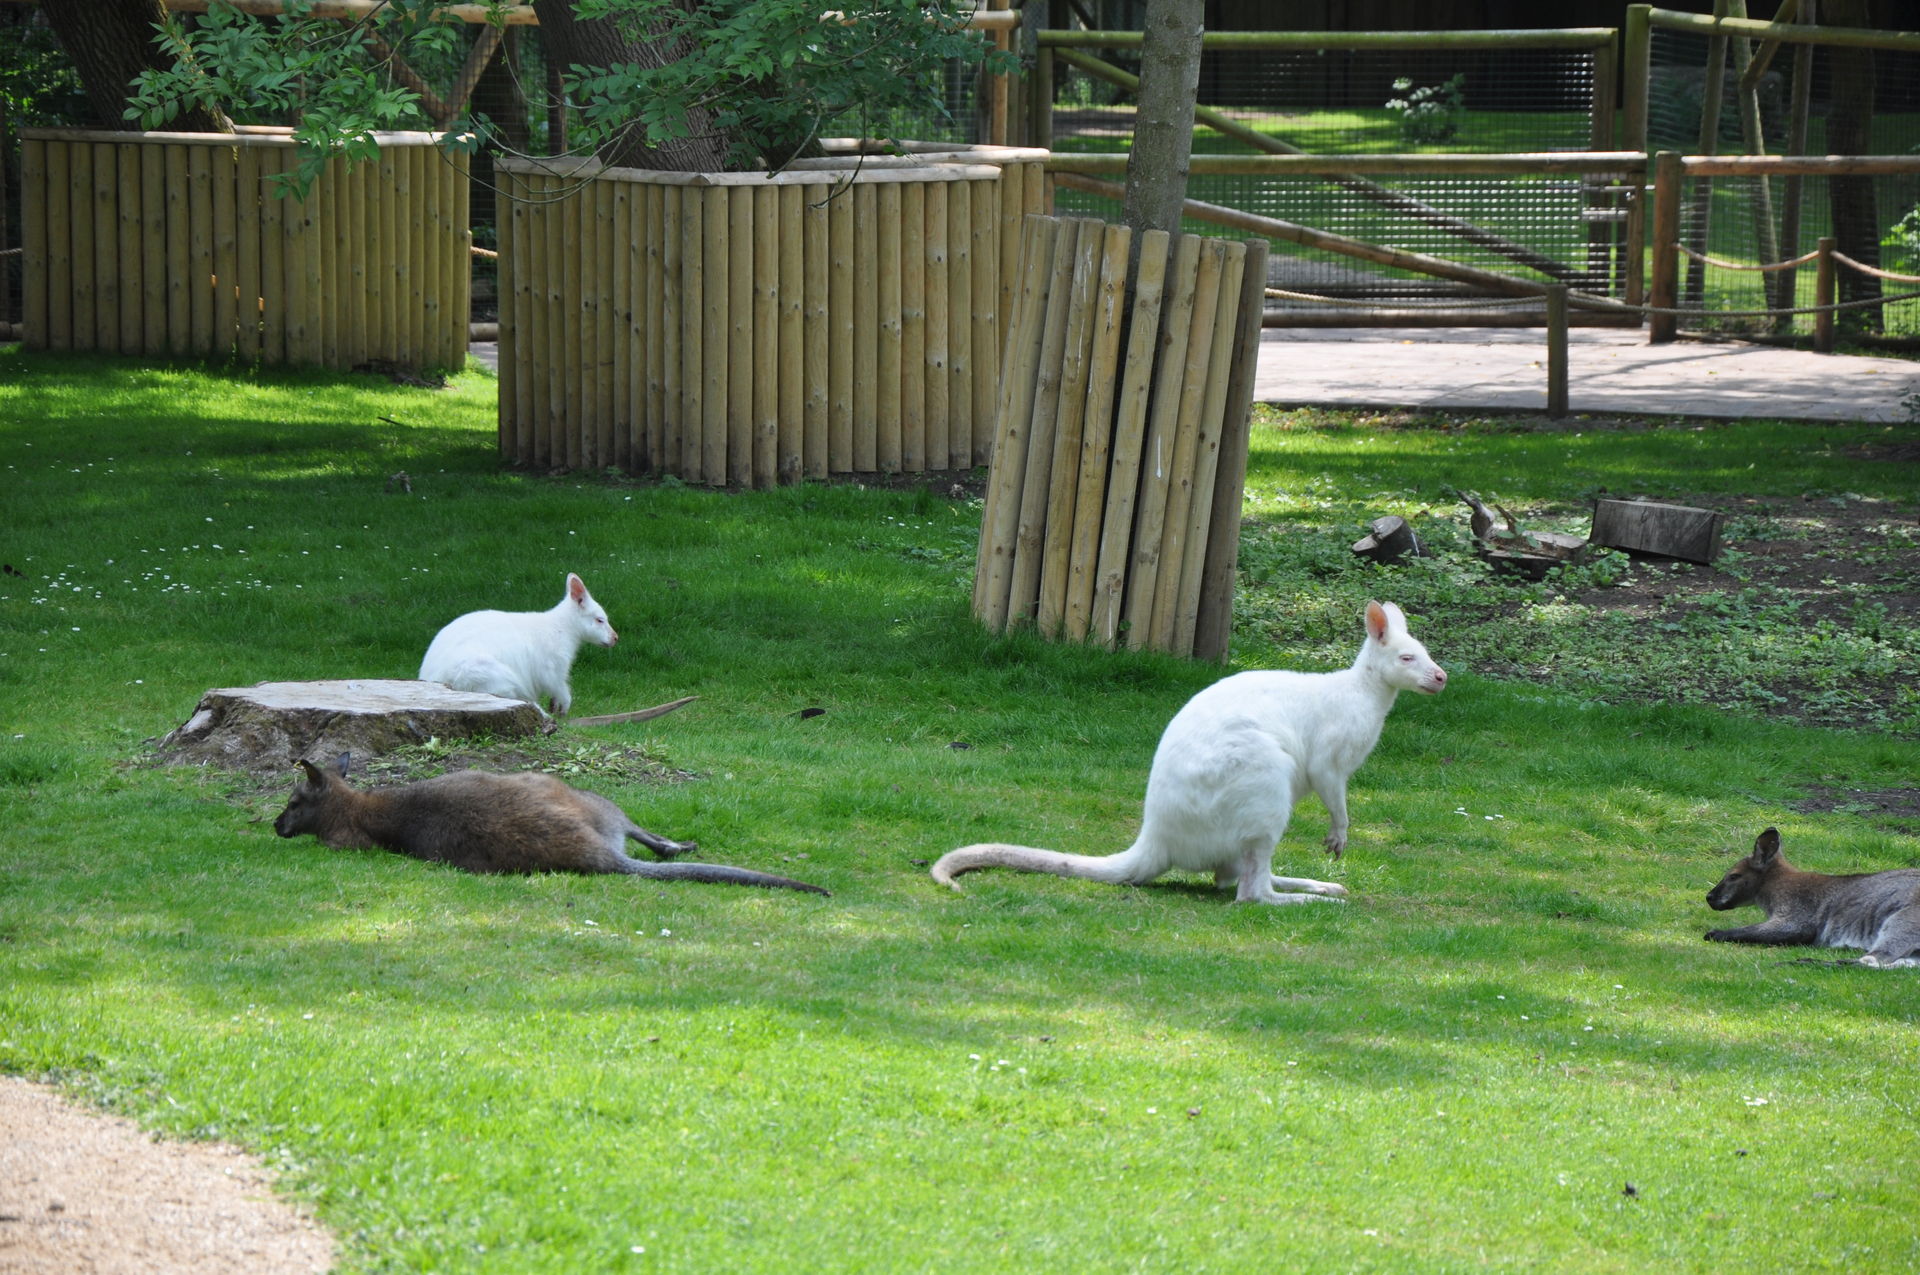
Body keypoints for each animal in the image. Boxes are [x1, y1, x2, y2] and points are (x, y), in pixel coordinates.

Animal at [273, 754, 829, 894]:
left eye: (294, 799)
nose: (276, 827)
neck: (354, 805)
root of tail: (602, 855)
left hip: (582, 797)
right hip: (585, 801)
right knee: (648, 839)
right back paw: (679, 847)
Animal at [420, 572, 615, 716]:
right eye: (599, 620)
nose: (615, 638)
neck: (564, 627)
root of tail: (434, 679)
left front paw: (555, 707)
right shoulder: (552, 667)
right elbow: (560, 687)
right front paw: (563, 709)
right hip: (490, 676)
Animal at [932, 600, 1446, 905]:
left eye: (1425, 653)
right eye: (1407, 658)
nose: (1442, 677)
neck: (1365, 692)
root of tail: (1156, 839)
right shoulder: (1329, 760)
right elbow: (1334, 794)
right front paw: (1338, 839)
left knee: (1236, 880)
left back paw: (1318, 885)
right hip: (1262, 783)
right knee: (1249, 894)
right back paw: (1313, 900)